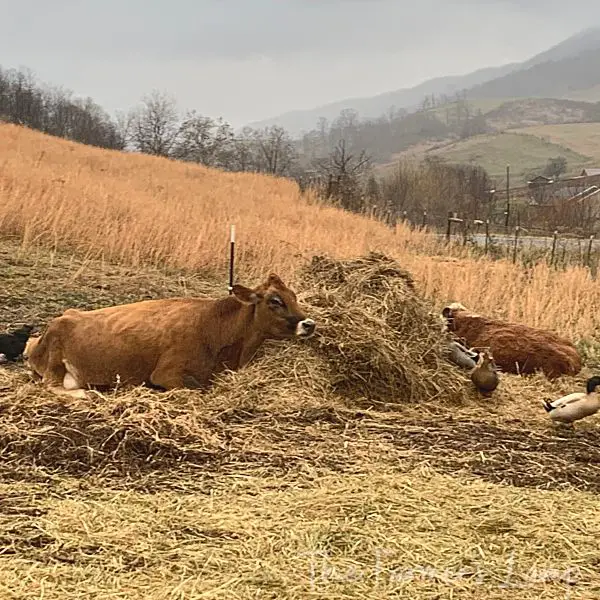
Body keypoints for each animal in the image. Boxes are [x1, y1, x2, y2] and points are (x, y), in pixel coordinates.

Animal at [27, 276, 318, 398]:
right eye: (275, 300)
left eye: (294, 297)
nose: (309, 324)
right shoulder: (167, 374)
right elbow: (198, 390)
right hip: (56, 362)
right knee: (54, 385)